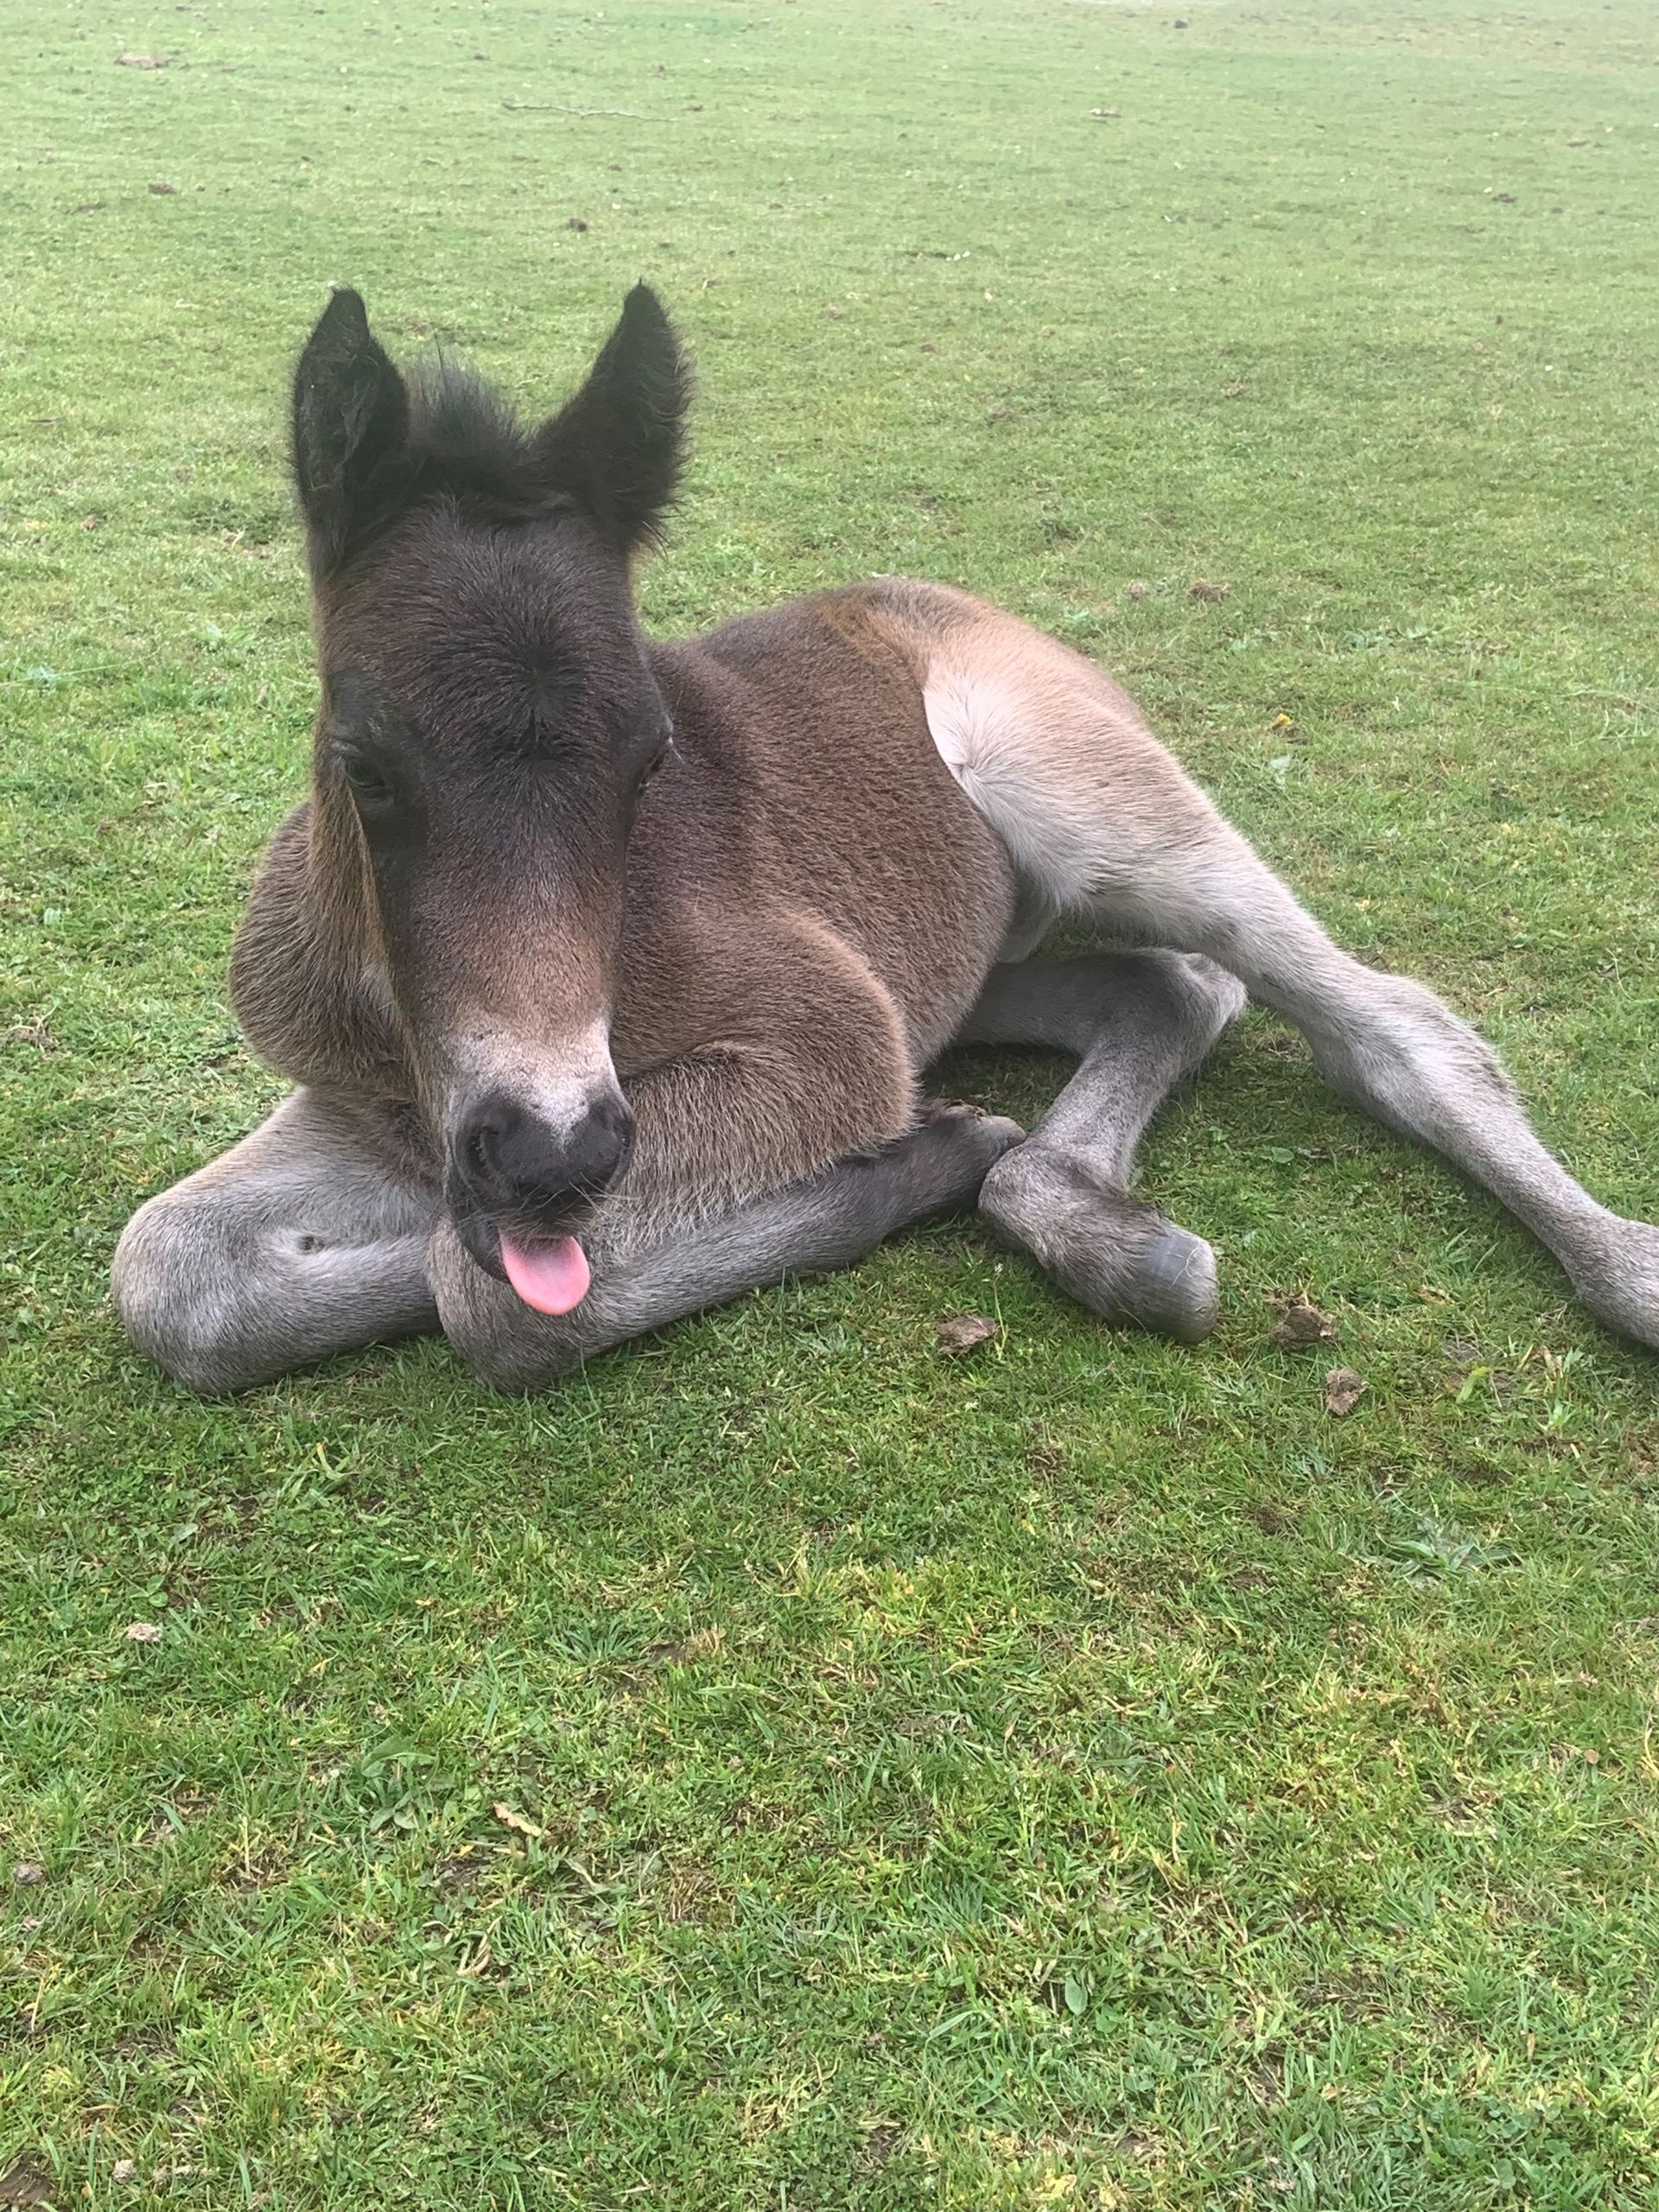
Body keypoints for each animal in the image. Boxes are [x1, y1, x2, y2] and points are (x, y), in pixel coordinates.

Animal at [112, 284, 1659, 1393]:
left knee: (1383, 1020)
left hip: (1089, 795)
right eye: (364, 765)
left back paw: (1622, 1272)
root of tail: (962, 604)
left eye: (654, 759)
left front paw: (895, 1164)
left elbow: (477, 1289)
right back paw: (1086, 1216)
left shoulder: (821, 1030)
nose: (553, 1155)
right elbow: (174, 1272)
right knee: (1166, 987)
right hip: (971, 959)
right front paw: (932, 1150)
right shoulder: (384, 1102)